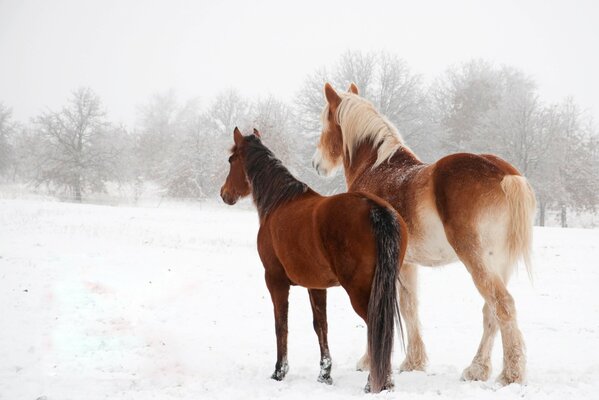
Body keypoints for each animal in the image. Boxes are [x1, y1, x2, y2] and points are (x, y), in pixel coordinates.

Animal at [220, 128, 408, 394]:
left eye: (231, 160)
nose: (224, 194)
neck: (279, 202)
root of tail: (375, 208)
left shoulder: (275, 280)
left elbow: (281, 324)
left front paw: (279, 372)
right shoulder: (316, 286)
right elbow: (321, 326)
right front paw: (324, 374)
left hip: (361, 291)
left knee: (376, 326)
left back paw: (375, 383)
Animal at [312, 83, 536, 386]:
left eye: (325, 122)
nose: (317, 164)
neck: (377, 168)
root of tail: (505, 174)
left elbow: (378, 307)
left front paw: (369, 361)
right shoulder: (407, 264)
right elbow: (410, 307)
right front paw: (414, 362)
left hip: (477, 260)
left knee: (503, 306)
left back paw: (510, 374)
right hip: (499, 264)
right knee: (490, 312)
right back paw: (477, 369)